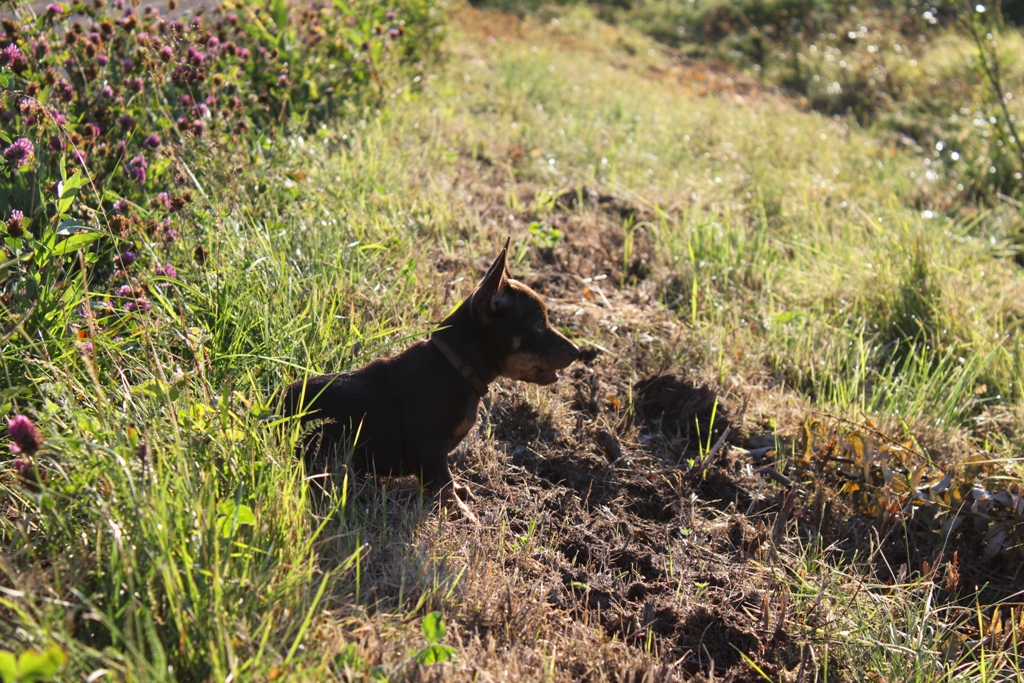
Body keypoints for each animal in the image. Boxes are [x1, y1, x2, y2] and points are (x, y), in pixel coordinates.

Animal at [281, 238, 580, 520]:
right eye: (539, 324)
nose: (577, 352)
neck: (457, 367)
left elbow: (446, 480)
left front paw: (459, 494)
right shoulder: (429, 447)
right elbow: (443, 482)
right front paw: (462, 514)